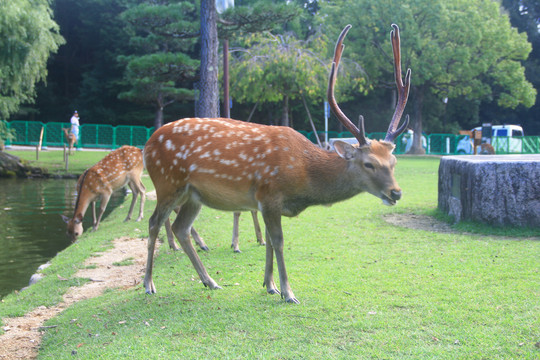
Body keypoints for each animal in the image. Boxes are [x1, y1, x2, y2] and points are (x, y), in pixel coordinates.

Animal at [141, 23, 412, 302]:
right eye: (369, 164)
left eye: (393, 161)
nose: (396, 192)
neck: (304, 177)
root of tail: (147, 145)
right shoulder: (269, 194)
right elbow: (279, 241)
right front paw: (288, 292)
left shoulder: (268, 203)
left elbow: (270, 241)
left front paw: (269, 285)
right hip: (167, 182)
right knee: (153, 223)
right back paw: (149, 284)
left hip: (193, 195)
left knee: (180, 227)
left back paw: (210, 281)